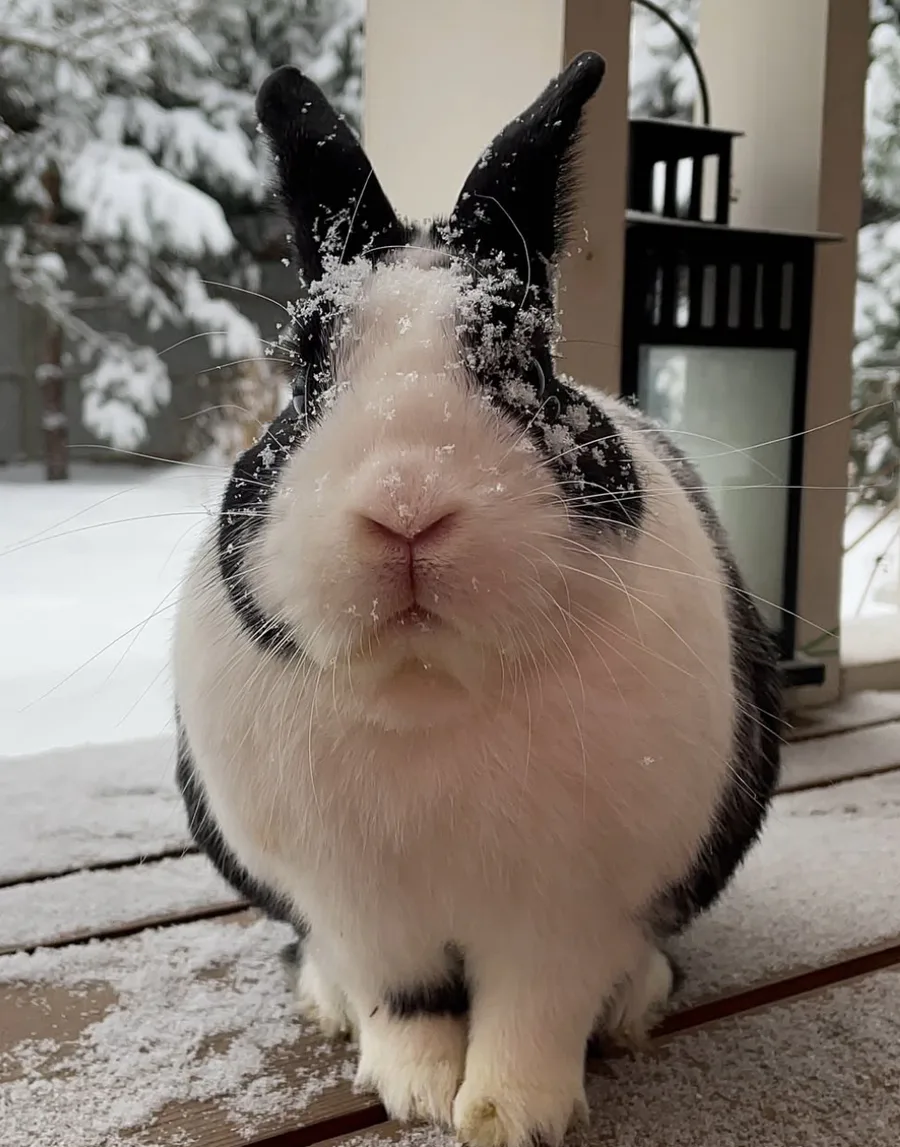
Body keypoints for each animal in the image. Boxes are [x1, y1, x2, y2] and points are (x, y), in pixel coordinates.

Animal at [172, 51, 782, 1147]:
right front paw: (415, 1091)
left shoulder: (568, 914)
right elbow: (404, 1001)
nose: (407, 509)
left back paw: (633, 1005)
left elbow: (534, 1014)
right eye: (306, 368)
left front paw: (509, 1115)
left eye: (526, 356)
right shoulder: (365, 912)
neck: (430, 686)